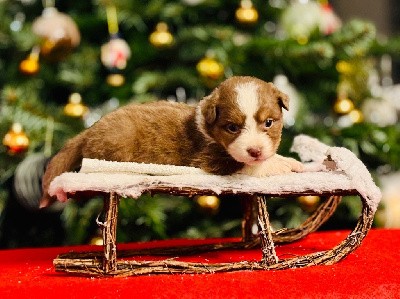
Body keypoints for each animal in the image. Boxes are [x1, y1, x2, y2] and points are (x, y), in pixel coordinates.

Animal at [41, 77, 304, 209]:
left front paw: (292, 162)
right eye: (232, 127)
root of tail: (88, 131)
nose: (255, 150)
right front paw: (281, 165)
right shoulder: (209, 157)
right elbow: (245, 164)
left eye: (269, 122)